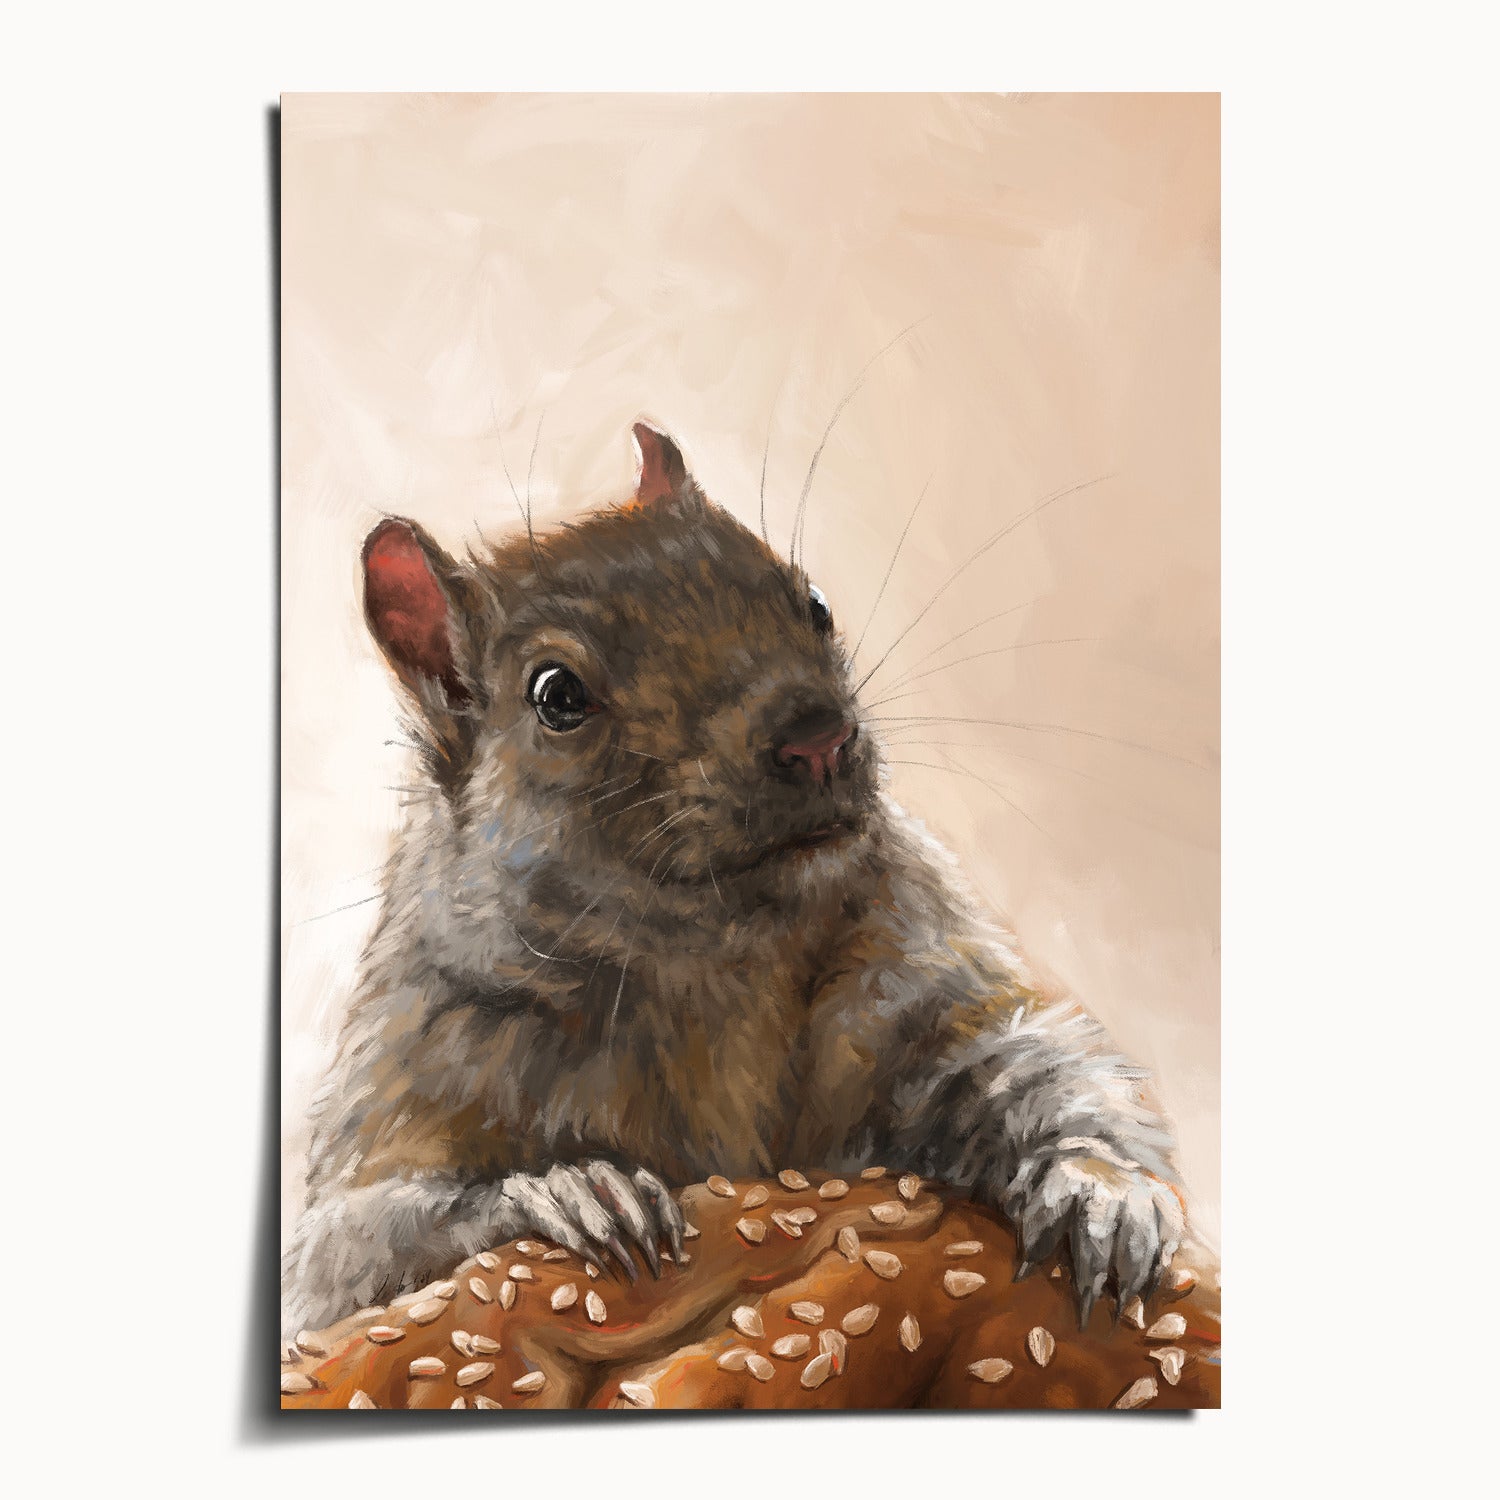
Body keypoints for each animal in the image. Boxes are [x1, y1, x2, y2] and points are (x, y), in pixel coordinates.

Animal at [282, 421, 1186, 1341]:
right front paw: (568, 1190)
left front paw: (1100, 1192)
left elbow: (1035, 1060)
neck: (717, 961)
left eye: (814, 602)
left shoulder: (915, 977)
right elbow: (346, 1259)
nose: (818, 737)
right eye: (557, 694)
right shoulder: (417, 1062)